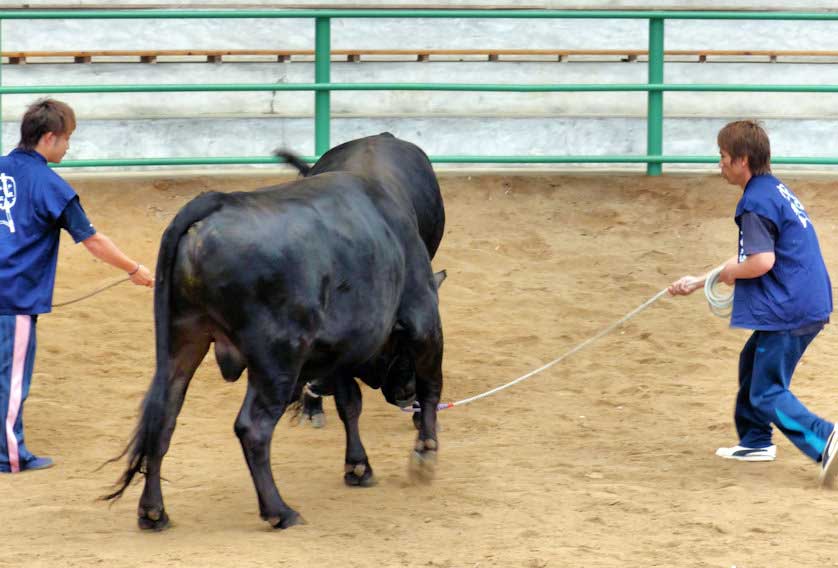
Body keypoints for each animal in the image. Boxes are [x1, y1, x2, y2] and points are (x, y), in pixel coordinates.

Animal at [108, 133, 450, 528]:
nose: (403, 394)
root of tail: (217, 204)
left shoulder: (342, 348)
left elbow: (350, 403)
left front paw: (358, 465)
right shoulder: (422, 320)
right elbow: (430, 385)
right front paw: (425, 451)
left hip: (183, 340)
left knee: (162, 416)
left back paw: (153, 511)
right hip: (278, 358)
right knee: (252, 428)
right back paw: (278, 510)